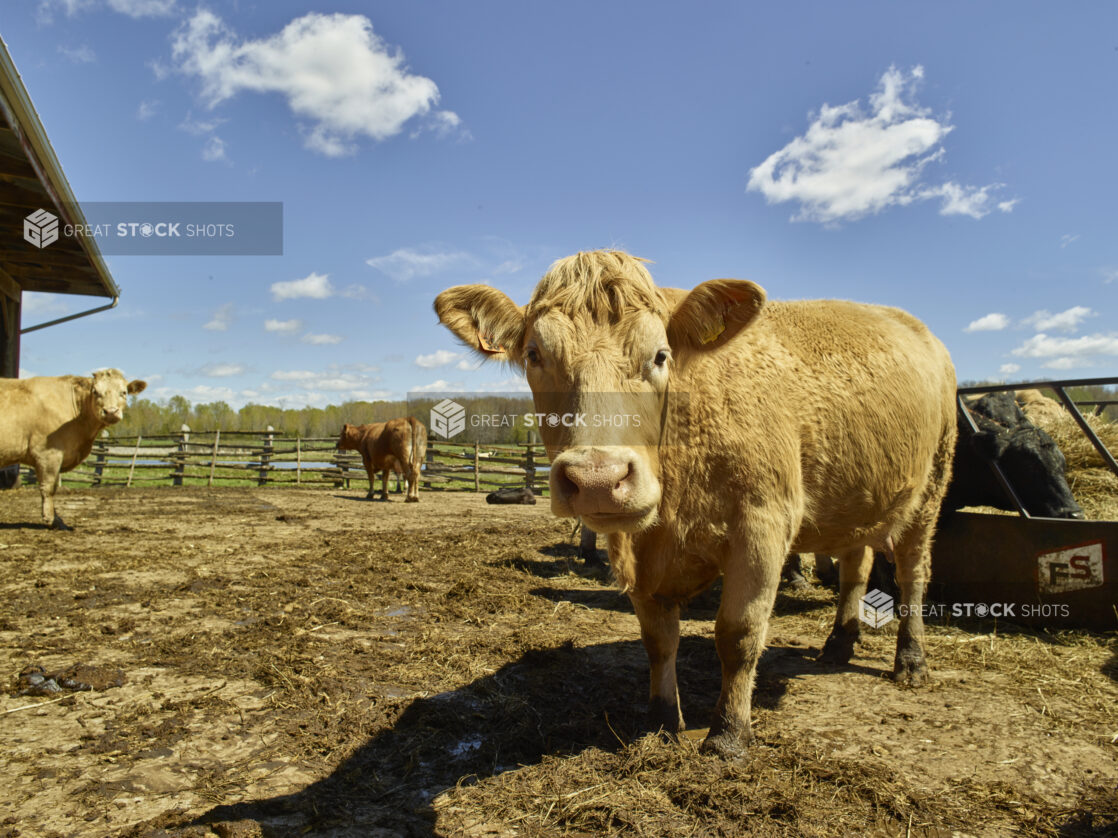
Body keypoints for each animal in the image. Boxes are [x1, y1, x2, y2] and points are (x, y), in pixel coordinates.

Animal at [0, 368, 146, 527]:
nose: (110, 411)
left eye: (123, 392)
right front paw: (51, 519)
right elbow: (49, 488)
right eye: (95, 392)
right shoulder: (47, 453)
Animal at [431, 252, 957, 759]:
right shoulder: (640, 554)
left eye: (660, 355)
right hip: (858, 501)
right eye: (534, 354)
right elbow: (659, 640)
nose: (598, 478)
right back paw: (839, 642)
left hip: (931, 488)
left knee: (912, 574)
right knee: (856, 565)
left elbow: (738, 633)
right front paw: (663, 721)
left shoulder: (763, 525)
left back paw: (911, 660)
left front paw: (729, 734)